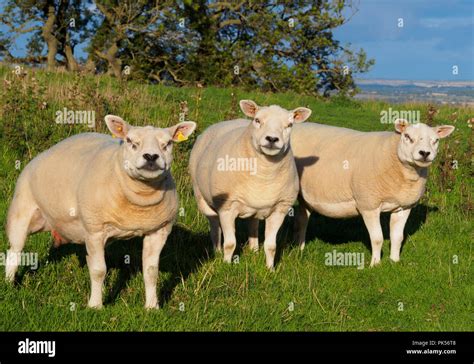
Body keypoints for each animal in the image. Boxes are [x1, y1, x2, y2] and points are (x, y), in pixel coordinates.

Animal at [6, 115, 194, 308]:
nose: (151, 156)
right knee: (15, 250)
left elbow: (151, 272)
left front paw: (152, 307)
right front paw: (95, 306)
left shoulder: (158, 231)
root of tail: (41, 155)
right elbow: (98, 270)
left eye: (168, 143)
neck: (139, 199)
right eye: (129, 141)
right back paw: (9, 284)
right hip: (22, 210)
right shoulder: (95, 230)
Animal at [189, 99, 312, 268]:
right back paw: (217, 251)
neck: (264, 175)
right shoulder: (227, 207)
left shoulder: (280, 209)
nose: (272, 139)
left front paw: (270, 269)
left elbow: (271, 246)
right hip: (201, 196)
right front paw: (226, 265)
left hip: (255, 207)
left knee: (252, 224)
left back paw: (254, 250)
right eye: (257, 120)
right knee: (214, 226)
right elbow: (230, 244)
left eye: (289, 125)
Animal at [292, 121, 456, 266]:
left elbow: (397, 237)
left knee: (302, 220)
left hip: (305, 197)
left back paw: (300, 248)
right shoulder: (368, 205)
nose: (425, 153)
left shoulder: (403, 207)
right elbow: (377, 238)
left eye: (435, 140)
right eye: (407, 136)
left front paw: (394, 261)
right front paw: (375, 264)